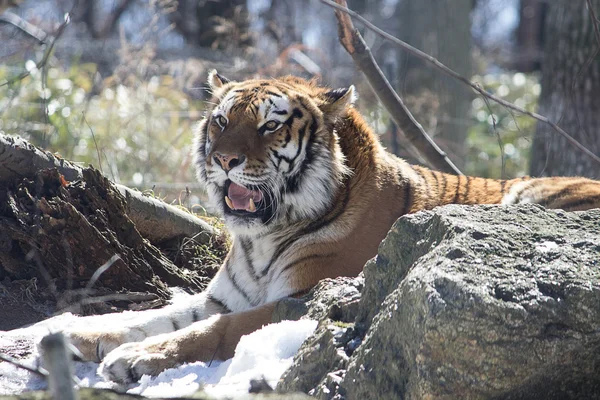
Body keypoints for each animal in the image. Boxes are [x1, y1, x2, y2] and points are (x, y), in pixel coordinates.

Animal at [65, 72, 600, 384]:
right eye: (220, 121)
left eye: (269, 126)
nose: (223, 160)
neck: (261, 237)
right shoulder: (225, 296)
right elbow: (159, 314)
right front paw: (77, 331)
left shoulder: (302, 299)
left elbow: (212, 330)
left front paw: (136, 356)